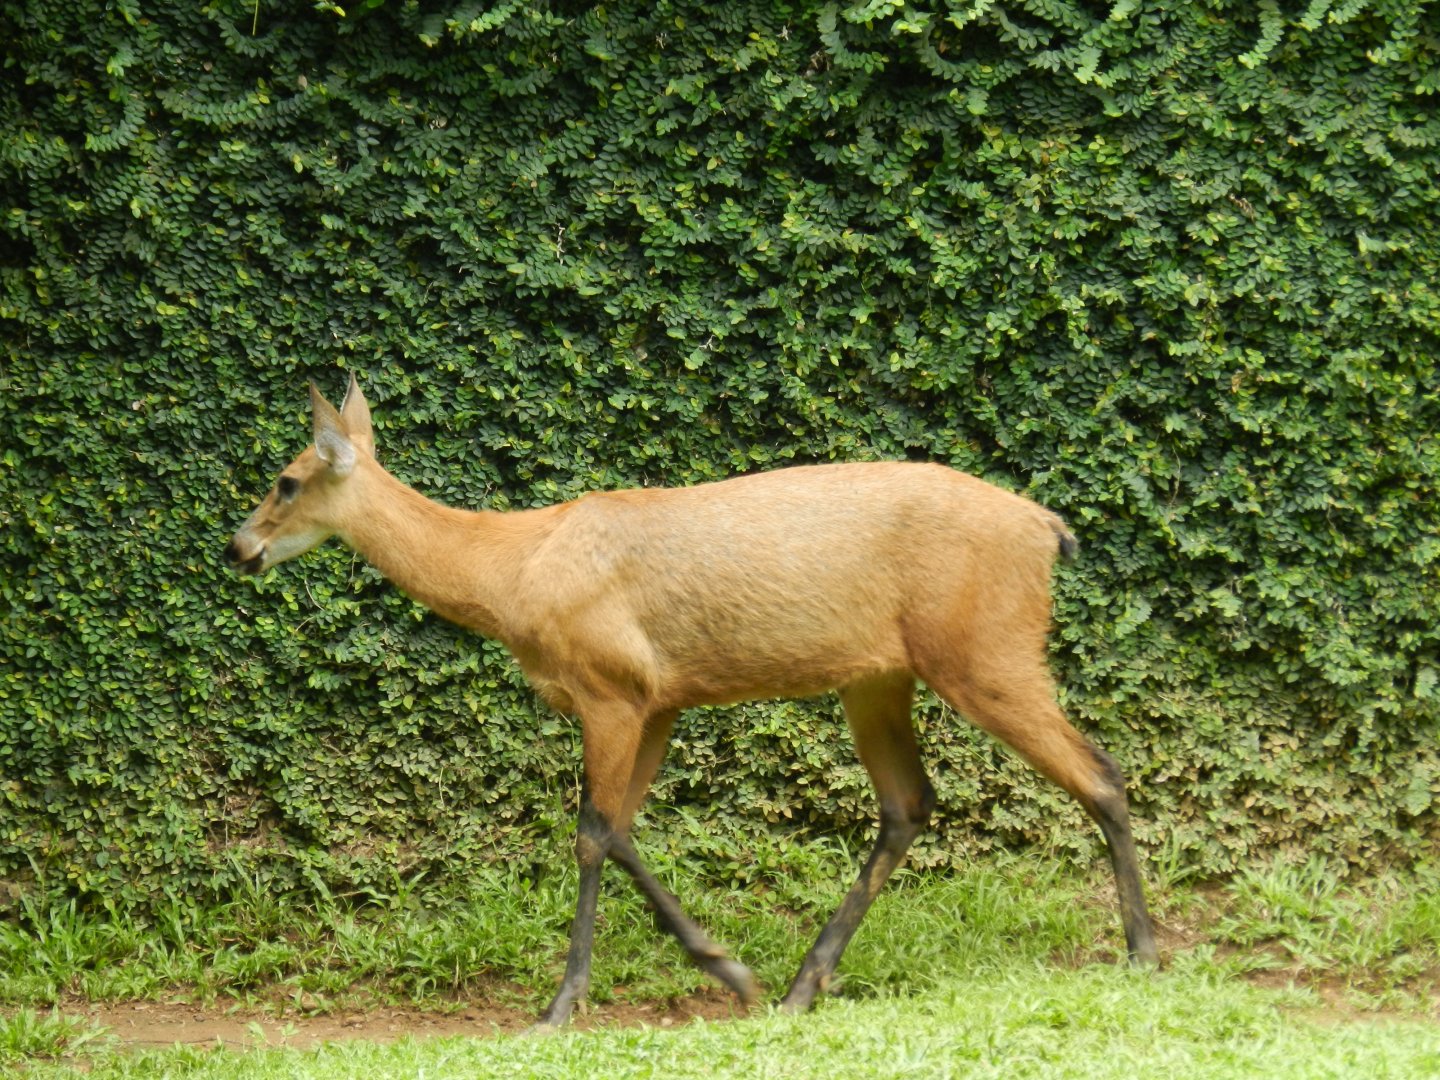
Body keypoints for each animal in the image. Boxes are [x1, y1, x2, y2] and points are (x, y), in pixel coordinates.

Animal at [224, 373, 1159, 1028]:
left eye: (285, 479)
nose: (239, 548)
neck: (512, 569)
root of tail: (1048, 530)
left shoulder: (610, 687)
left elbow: (592, 833)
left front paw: (566, 1004)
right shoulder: (659, 699)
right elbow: (620, 829)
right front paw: (730, 973)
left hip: (984, 650)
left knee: (1100, 772)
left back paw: (1144, 953)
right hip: (877, 676)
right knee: (907, 804)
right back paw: (802, 987)